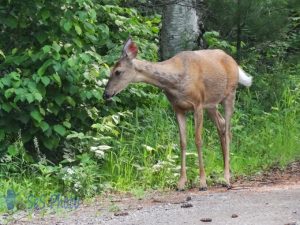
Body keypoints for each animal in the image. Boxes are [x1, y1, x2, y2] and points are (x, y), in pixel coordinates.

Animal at [103, 37, 253, 191]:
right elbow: (182, 142)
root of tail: (233, 61)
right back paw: (226, 173)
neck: (176, 82)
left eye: (118, 71)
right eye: (110, 70)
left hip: (230, 94)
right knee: (222, 125)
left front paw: (202, 182)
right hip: (211, 104)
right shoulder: (178, 108)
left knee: (228, 131)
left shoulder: (198, 104)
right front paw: (181, 182)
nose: (106, 94)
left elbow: (198, 140)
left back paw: (227, 178)